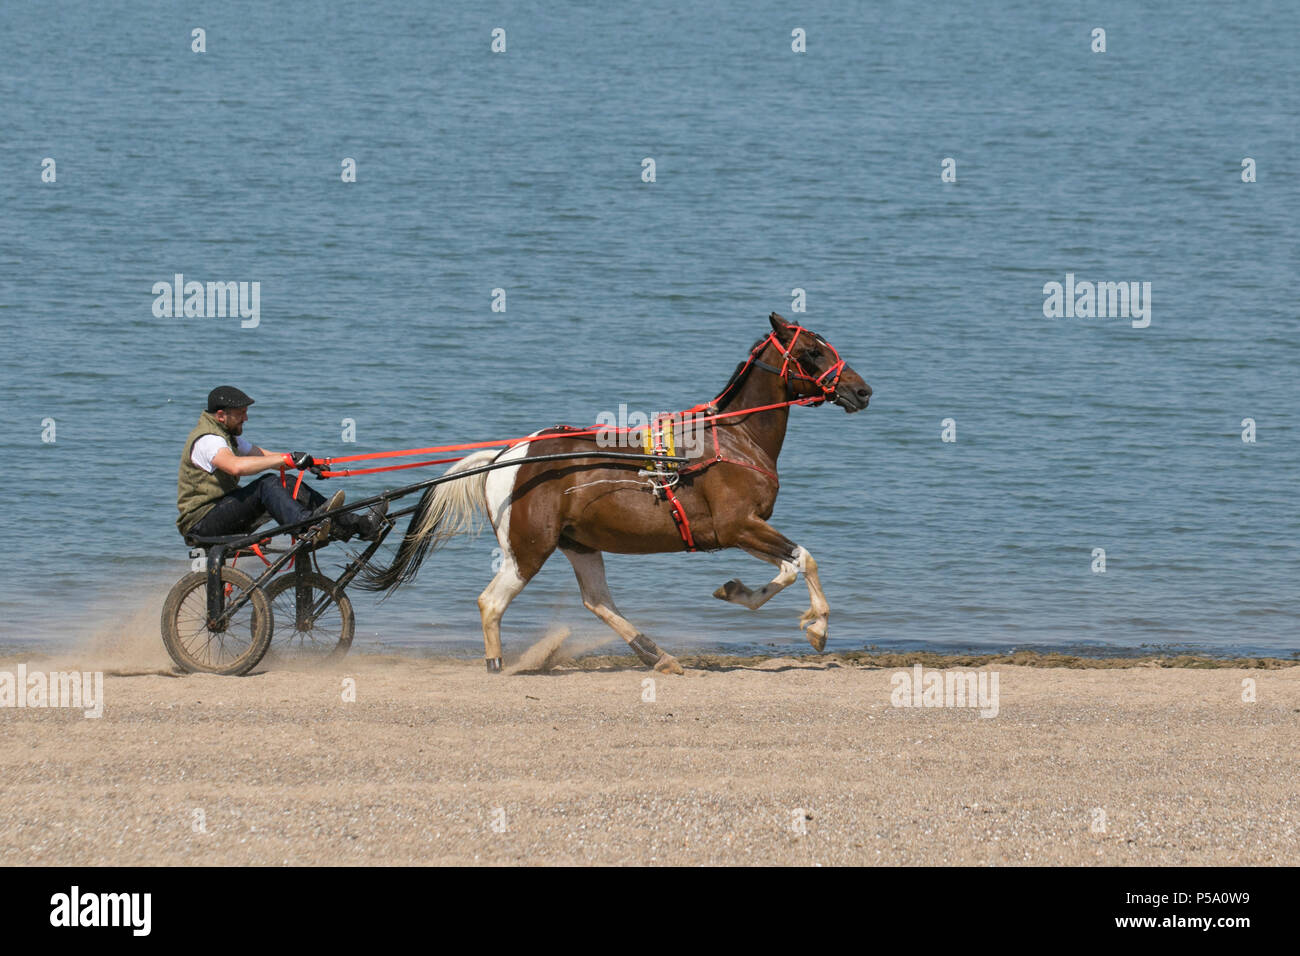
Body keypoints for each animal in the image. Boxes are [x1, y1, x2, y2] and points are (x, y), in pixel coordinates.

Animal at [358, 314, 873, 671]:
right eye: (811, 351)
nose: (863, 391)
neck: (732, 439)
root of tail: (509, 455)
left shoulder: (742, 530)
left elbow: (789, 566)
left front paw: (736, 591)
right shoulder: (738, 525)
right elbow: (804, 559)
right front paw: (817, 626)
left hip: (579, 544)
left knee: (598, 601)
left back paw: (657, 655)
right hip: (529, 548)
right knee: (492, 602)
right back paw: (497, 662)